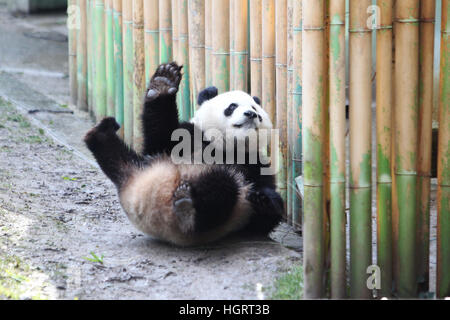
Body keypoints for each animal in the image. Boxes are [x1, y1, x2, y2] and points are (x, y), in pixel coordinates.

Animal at [84, 61, 282, 245]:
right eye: (232, 107)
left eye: (256, 110)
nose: (250, 114)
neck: (226, 147)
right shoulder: (188, 136)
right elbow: (159, 139)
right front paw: (163, 82)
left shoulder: (256, 164)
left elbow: (259, 223)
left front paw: (263, 200)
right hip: (146, 167)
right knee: (119, 158)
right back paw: (100, 133)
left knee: (223, 187)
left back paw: (187, 205)